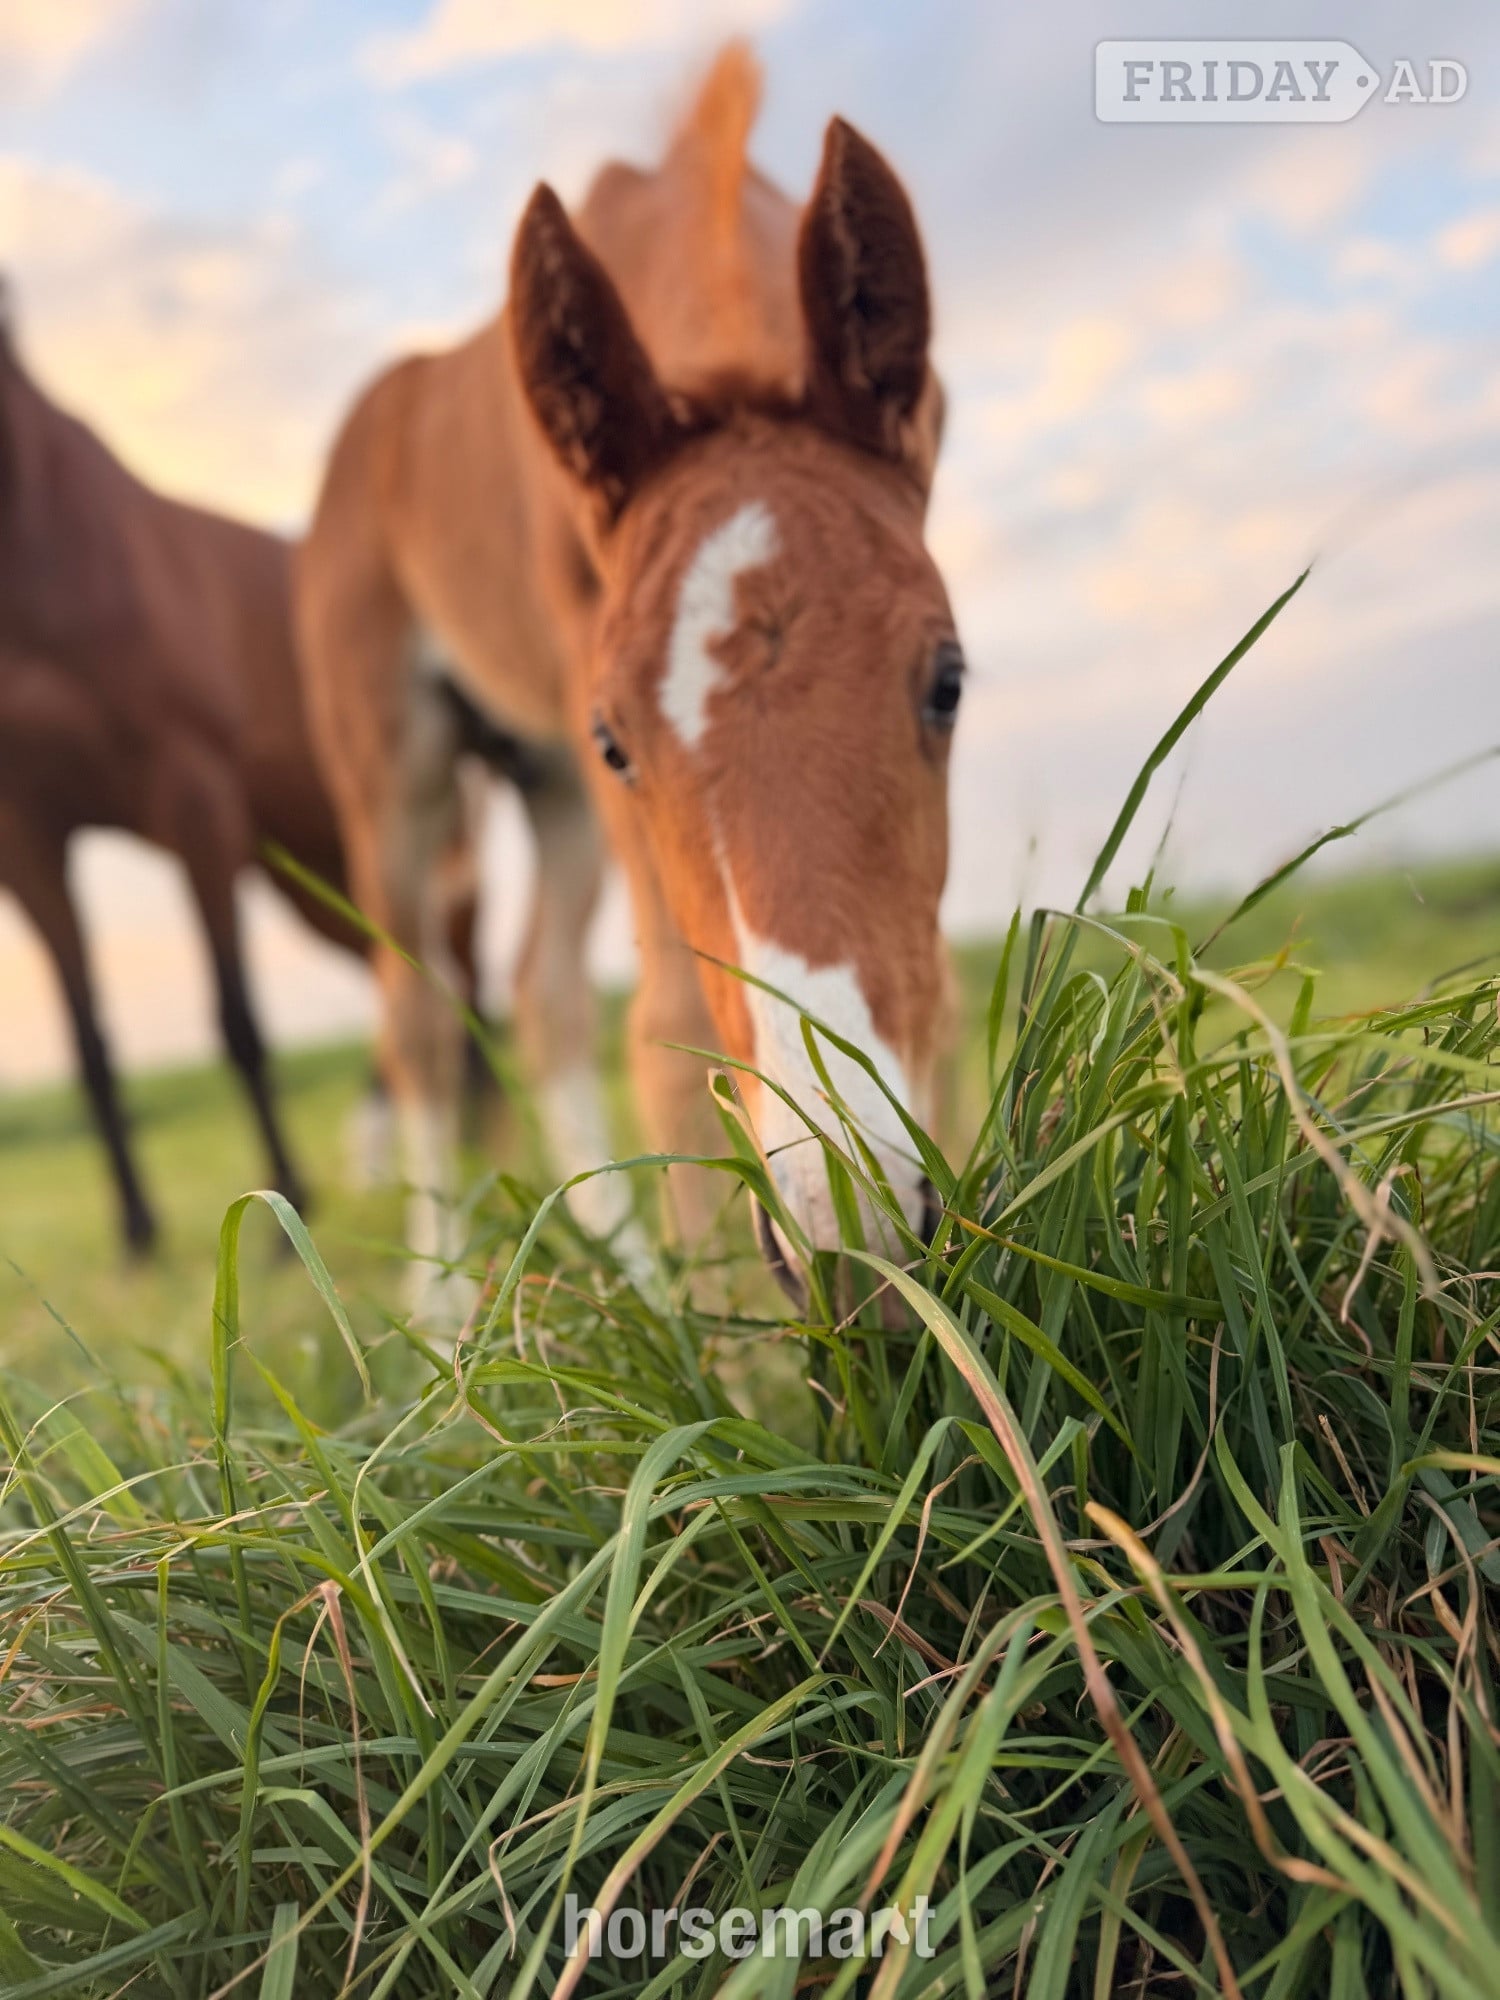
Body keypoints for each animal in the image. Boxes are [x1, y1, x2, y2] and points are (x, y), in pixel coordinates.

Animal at [0, 292, 391, 1252]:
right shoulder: (28, 839)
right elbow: (89, 1047)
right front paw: (137, 1230)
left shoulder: (195, 799)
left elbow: (239, 1022)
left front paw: (286, 1209)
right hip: (308, 876)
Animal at [297, 45, 960, 1314]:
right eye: (619, 737)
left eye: (948, 681)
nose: (848, 1237)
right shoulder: (580, 693)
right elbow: (664, 1017)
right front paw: (736, 1335)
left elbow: (928, 967)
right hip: (396, 774)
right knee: (421, 1015)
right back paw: (445, 1315)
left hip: (543, 784)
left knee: (541, 993)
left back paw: (633, 1276)